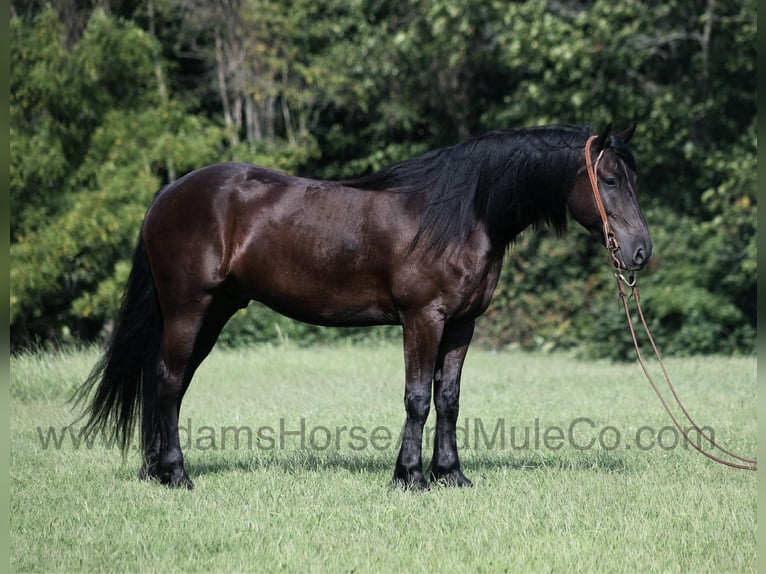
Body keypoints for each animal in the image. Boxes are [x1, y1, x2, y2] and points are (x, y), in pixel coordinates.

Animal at [74, 122, 651, 490]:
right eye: (610, 180)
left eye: (632, 179)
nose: (640, 252)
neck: (462, 215)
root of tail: (167, 194)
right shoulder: (423, 318)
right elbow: (418, 398)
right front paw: (410, 478)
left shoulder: (462, 326)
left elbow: (449, 400)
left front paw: (451, 475)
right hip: (189, 309)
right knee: (169, 381)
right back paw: (176, 474)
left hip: (213, 313)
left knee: (165, 382)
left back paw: (155, 470)